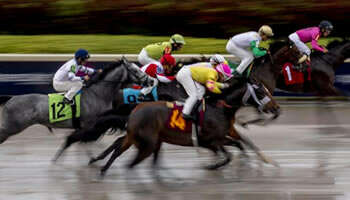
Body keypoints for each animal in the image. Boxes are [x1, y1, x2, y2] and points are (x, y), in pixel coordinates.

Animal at [0, 57, 149, 144]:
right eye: (136, 70)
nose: (149, 80)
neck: (98, 93)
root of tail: (11, 98)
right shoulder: (88, 124)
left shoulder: (92, 125)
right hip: (11, 126)